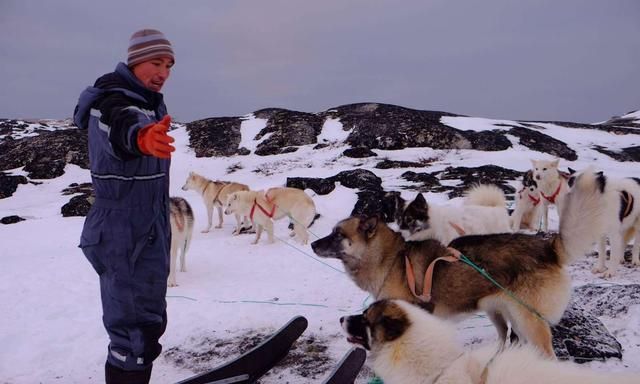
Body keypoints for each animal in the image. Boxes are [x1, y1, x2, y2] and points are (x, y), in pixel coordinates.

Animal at [312, 171, 608, 356]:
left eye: (338, 234)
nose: (313, 244)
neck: (392, 259)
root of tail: (548, 247)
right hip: (503, 312)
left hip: (528, 320)